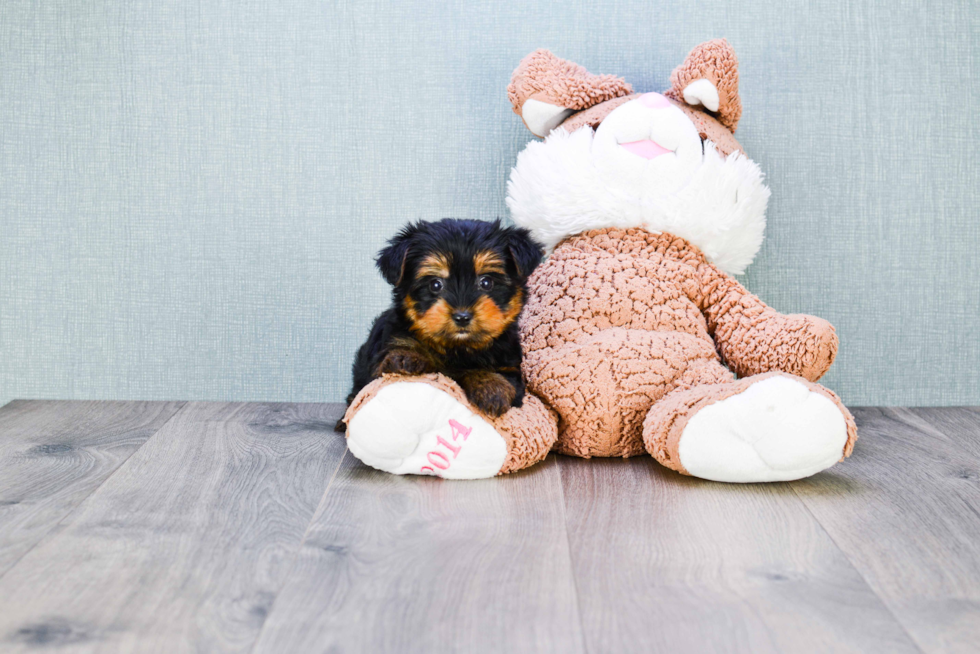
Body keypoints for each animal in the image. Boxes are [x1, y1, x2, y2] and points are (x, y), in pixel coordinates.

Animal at [336, 220, 544, 434]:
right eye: (435, 284)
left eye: (486, 282)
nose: (462, 317)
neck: (457, 347)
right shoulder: (382, 359)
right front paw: (406, 355)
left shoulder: (510, 366)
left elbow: (496, 376)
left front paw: (491, 386)